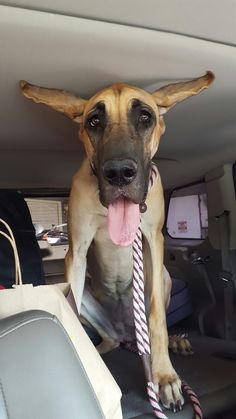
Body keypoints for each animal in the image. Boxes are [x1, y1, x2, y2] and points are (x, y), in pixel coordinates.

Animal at [21, 71, 215, 410]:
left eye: (145, 117)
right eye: (94, 120)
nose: (120, 173)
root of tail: (128, 336)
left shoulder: (153, 243)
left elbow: (156, 317)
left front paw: (164, 376)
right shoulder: (77, 252)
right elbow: (71, 311)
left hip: (164, 277)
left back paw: (173, 342)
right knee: (107, 337)